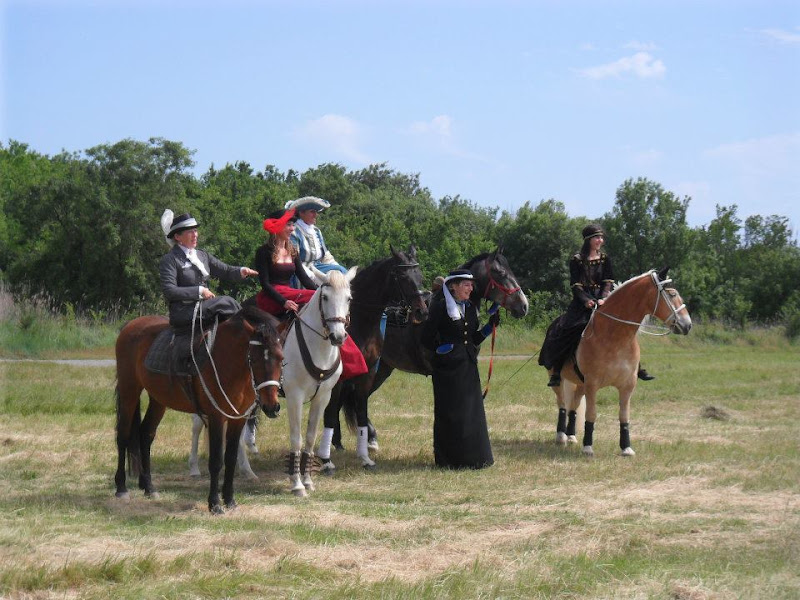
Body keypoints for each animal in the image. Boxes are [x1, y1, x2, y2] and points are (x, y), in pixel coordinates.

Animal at [114, 308, 282, 512]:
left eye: (281, 358)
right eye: (254, 359)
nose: (271, 406)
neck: (228, 361)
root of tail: (130, 325)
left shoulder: (238, 419)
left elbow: (231, 458)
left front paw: (230, 500)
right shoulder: (216, 417)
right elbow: (216, 461)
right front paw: (215, 504)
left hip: (158, 399)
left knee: (146, 434)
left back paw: (149, 487)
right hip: (129, 391)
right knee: (123, 436)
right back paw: (121, 488)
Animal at [282, 268, 356, 496]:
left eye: (349, 298)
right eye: (325, 297)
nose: (338, 336)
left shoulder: (322, 397)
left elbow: (310, 437)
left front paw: (307, 480)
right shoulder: (294, 397)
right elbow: (296, 438)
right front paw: (296, 484)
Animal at [552, 268, 692, 454]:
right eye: (672, 294)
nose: (687, 325)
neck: (613, 337)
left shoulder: (627, 385)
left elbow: (624, 416)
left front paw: (626, 448)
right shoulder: (592, 384)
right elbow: (591, 414)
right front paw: (588, 447)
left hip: (580, 384)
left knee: (573, 405)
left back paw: (571, 436)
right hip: (560, 381)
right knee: (561, 403)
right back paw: (561, 436)